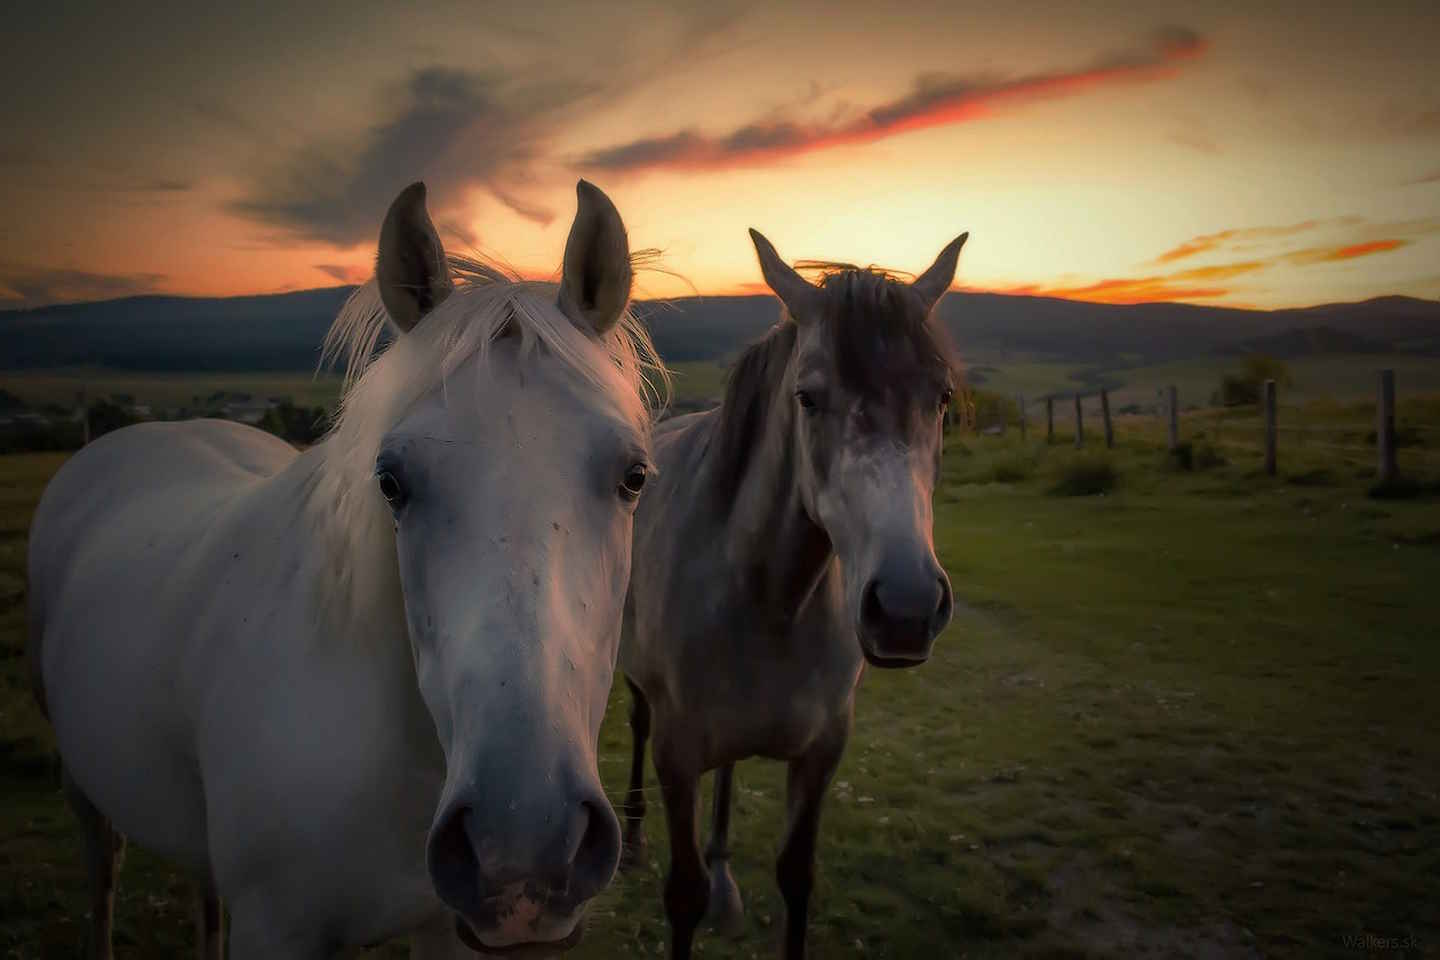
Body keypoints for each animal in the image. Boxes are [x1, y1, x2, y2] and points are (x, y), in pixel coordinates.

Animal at [26, 178, 662, 955]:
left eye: (634, 476)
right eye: (390, 482)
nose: (524, 840)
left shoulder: (445, 929)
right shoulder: (274, 927)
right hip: (83, 787)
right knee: (104, 871)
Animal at [619, 228, 967, 955]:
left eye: (942, 399)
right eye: (807, 397)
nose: (907, 609)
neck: (769, 599)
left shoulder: (823, 751)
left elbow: (797, 876)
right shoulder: (676, 754)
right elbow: (683, 893)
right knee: (635, 725)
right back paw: (633, 838)